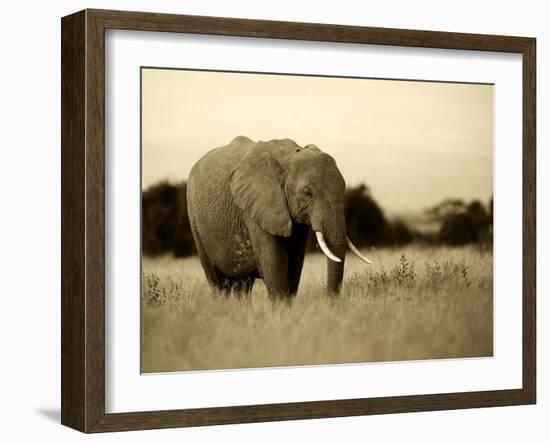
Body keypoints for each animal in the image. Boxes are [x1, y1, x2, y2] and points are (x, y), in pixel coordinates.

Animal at [188, 136, 374, 300]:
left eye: (343, 188)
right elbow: (274, 263)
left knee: (243, 284)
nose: (330, 302)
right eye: (307, 193)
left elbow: (295, 262)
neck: (290, 156)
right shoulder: (257, 205)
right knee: (217, 282)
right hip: (194, 218)